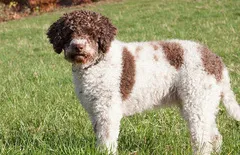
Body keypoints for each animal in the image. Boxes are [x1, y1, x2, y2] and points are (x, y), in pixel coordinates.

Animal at [46, 10, 239, 154]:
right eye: (69, 32)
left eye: (92, 33)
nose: (78, 46)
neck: (96, 63)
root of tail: (215, 60)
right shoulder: (95, 111)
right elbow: (100, 138)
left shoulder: (107, 110)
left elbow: (107, 141)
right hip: (202, 104)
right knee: (215, 136)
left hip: (197, 101)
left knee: (203, 140)